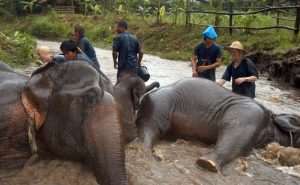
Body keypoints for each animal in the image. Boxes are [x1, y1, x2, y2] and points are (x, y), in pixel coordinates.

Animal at [135, 77, 300, 173]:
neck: (272, 116)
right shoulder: (249, 116)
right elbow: (237, 136)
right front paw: (206, 163)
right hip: (160, 104)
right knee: (151, 126)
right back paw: (142, 150)